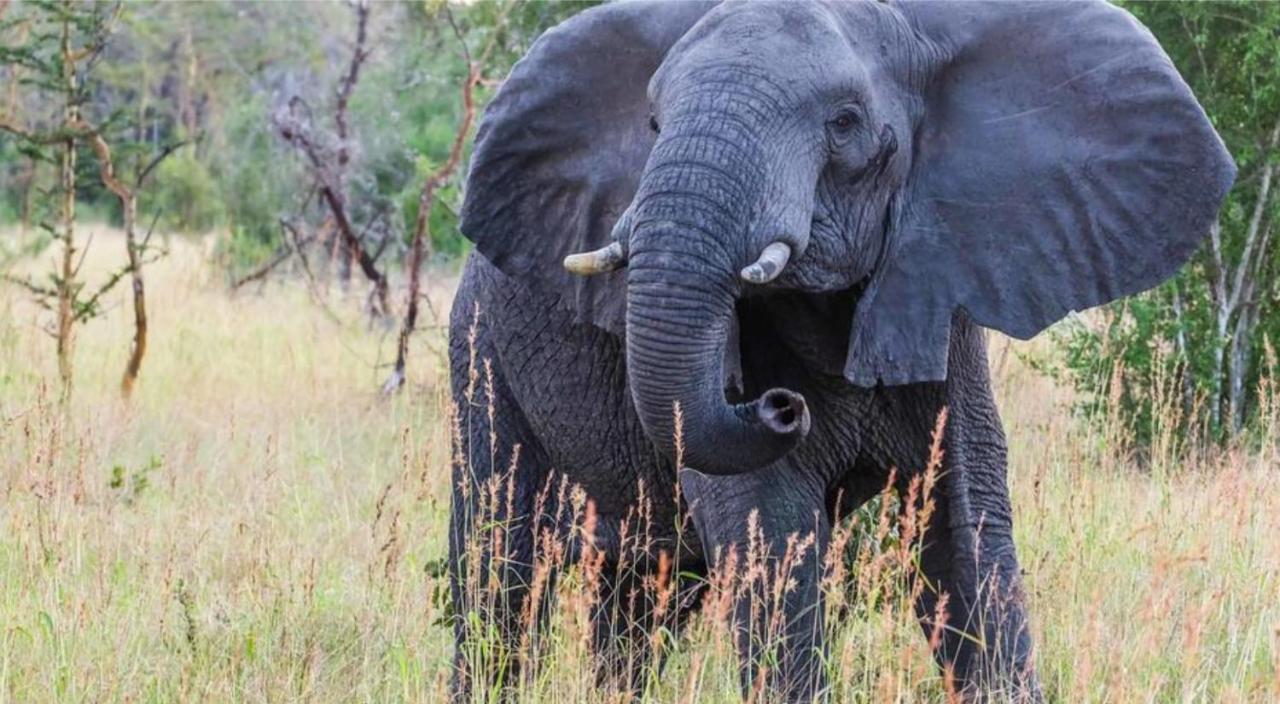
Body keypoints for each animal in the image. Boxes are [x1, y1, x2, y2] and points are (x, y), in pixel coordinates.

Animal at [445, 0, 1233, 701]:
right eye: (653, 124)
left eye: (845, 124)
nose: (776, 404)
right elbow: (770, 530)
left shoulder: (941, 291)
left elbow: (966, 529)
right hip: (478, 352)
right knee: (498, 571)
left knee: (645, 598)